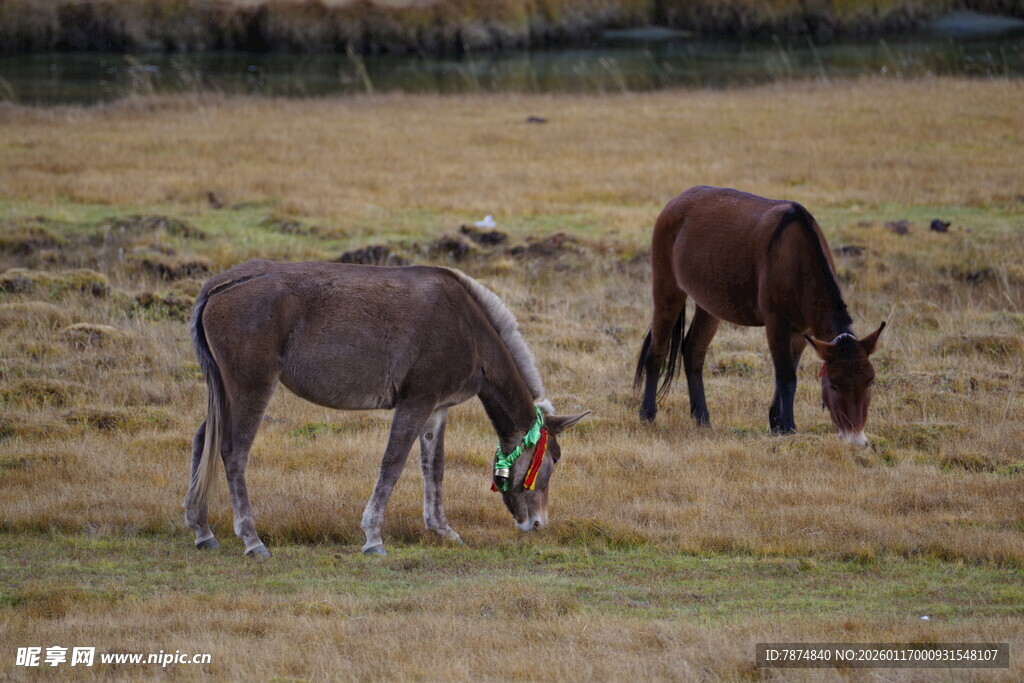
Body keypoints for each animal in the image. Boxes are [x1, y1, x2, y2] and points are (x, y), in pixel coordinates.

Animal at [183, 259, 588, 557]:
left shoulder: (437, 409)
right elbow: (392, 464)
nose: (537, 523)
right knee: (234, 453)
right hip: (251, 386)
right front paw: (373, 536)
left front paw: (442, 529)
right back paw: (252, 540)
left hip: (223, 390)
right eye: (553, 459)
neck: (468, 328)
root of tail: (220, 286)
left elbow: (433, 469)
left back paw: (202, 530)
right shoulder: (416, 402)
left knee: (203, 439)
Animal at [634, 186, 884, 445]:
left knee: (693, 351)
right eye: (834, 385)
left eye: (870, 381)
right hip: (668, 289)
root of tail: (676, 201)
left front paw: (776, 423)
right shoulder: (776, 323)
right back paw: (647, 414)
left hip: (709, 305)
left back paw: (702, 418)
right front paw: (788, 428)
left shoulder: (801, 331)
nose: (857, 439)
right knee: (657, 351)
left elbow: (788, 373)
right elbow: (786, 377)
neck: (797, 256)